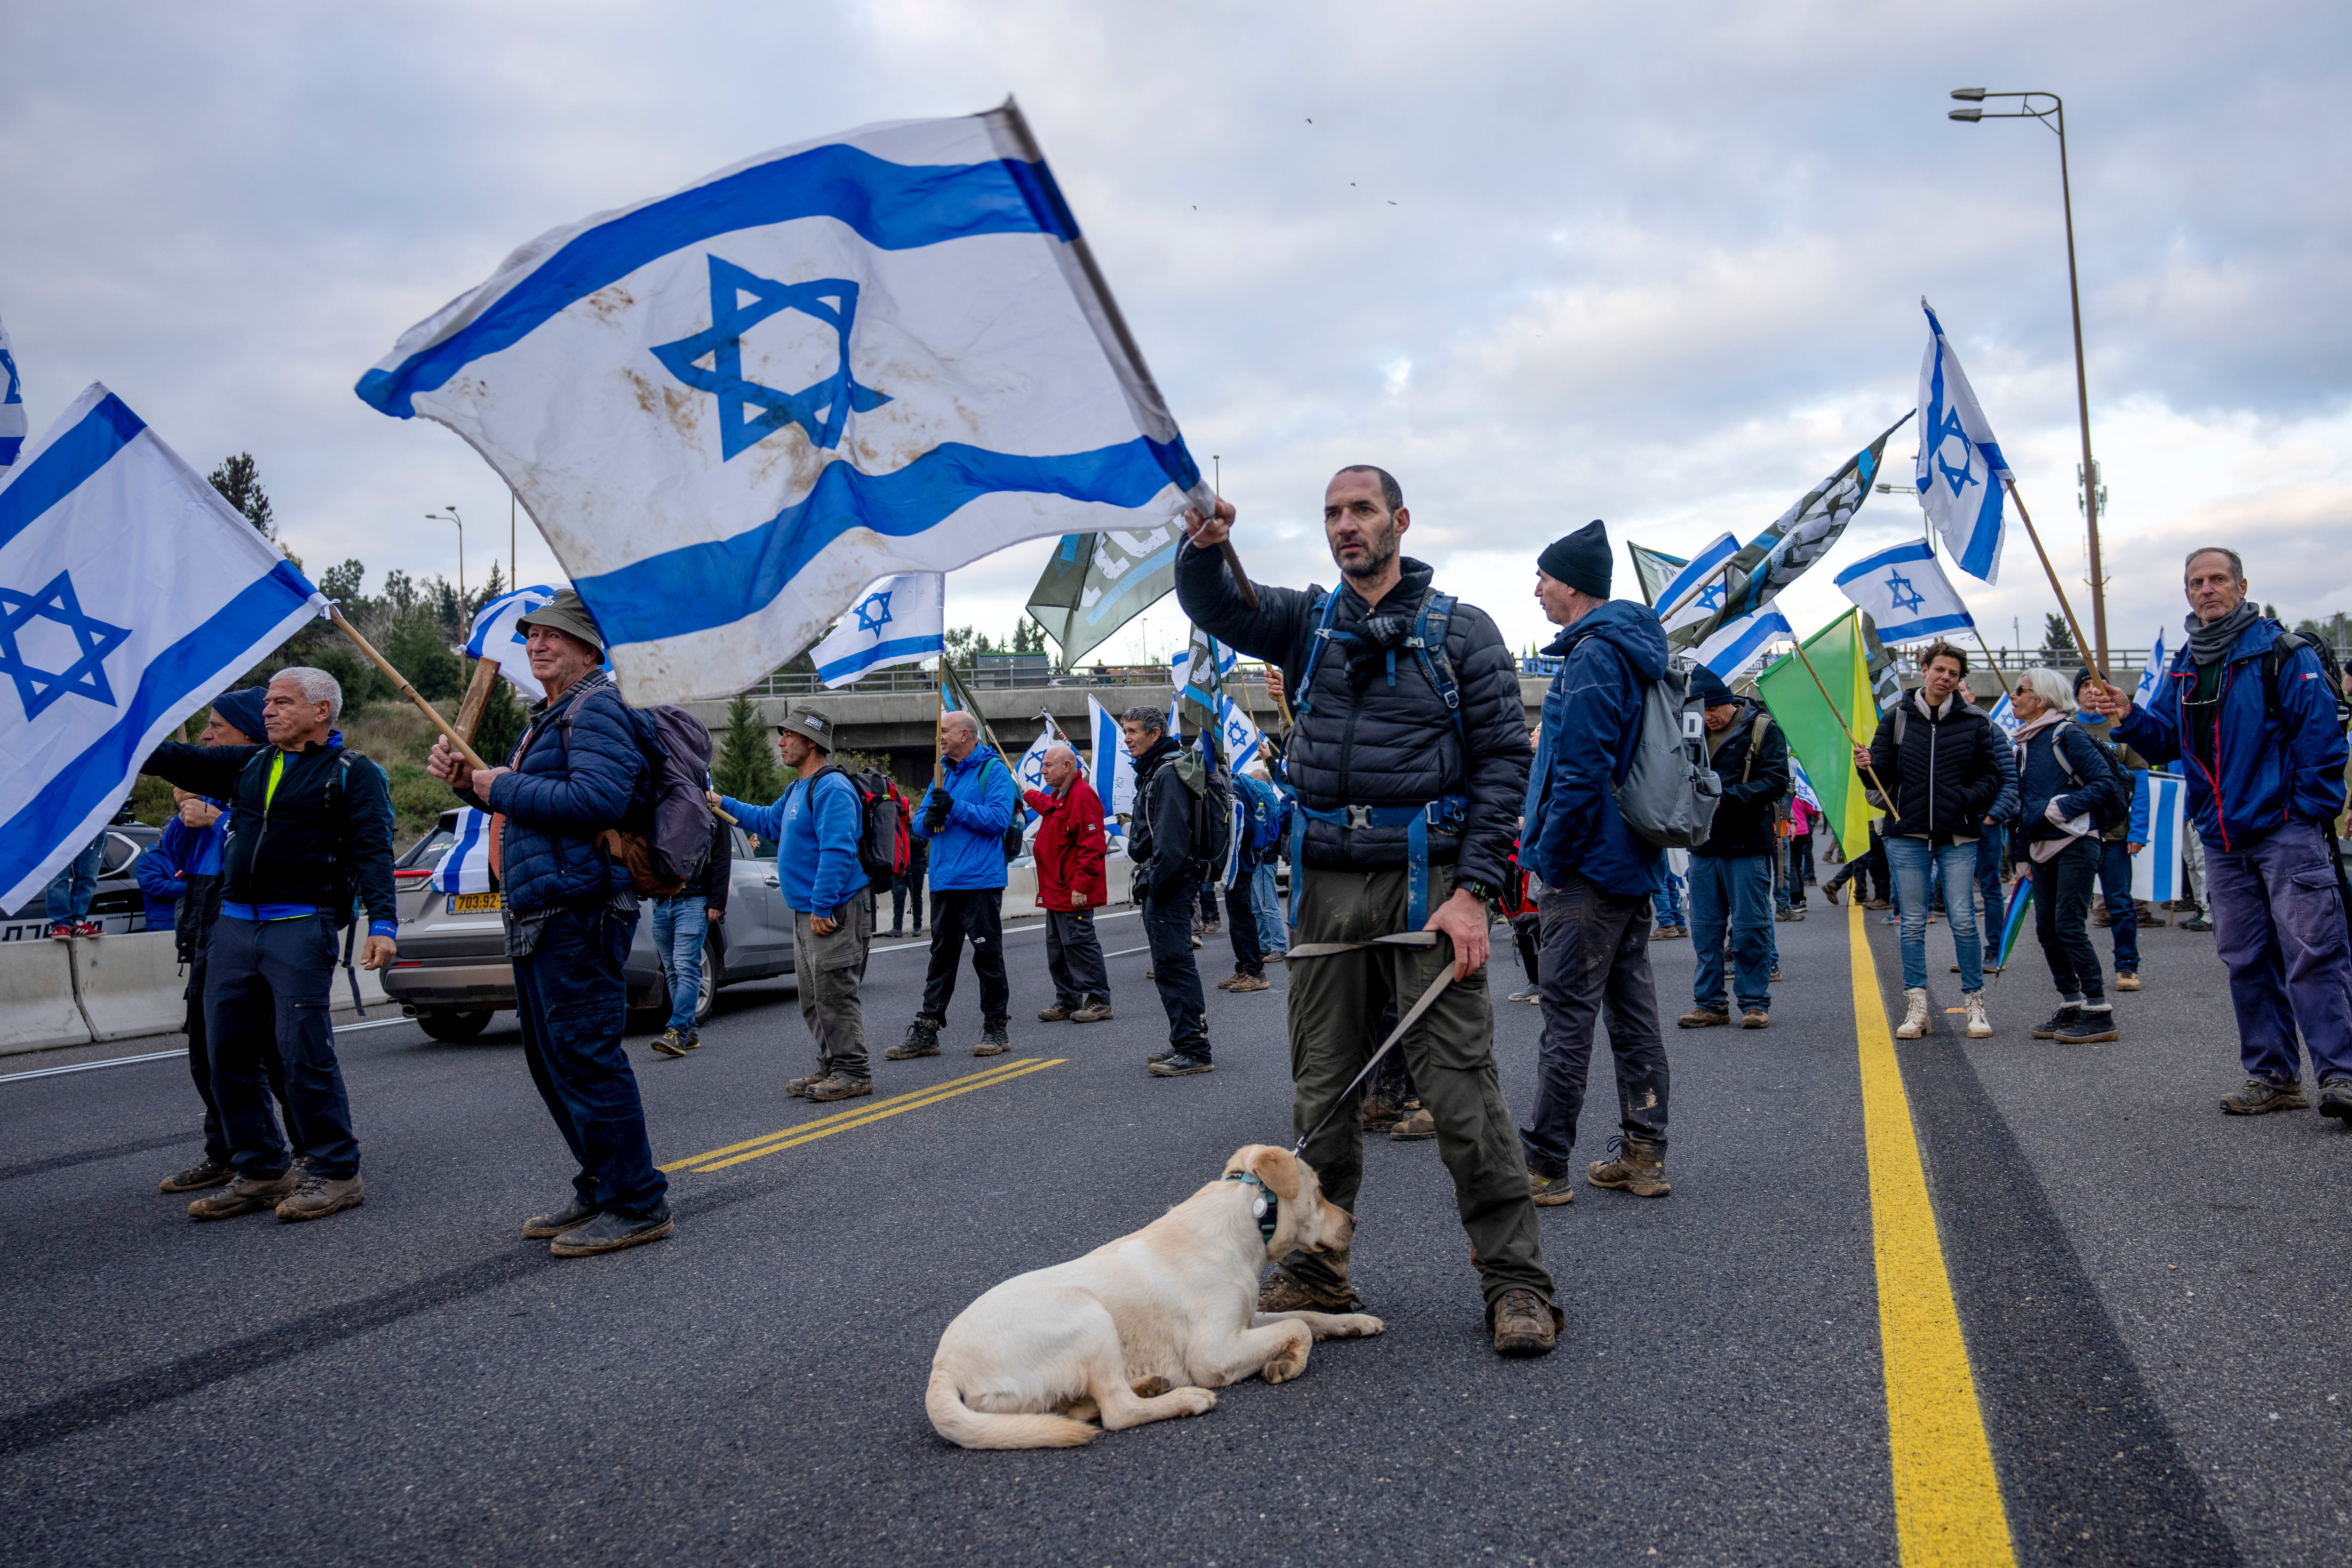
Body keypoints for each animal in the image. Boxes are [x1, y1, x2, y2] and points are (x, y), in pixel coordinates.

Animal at [927, 1147, 1383, 1457]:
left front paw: (1354, 1324)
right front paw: (1287, 1362)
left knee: (1078, 1408)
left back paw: (1148, 1385)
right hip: (1088, 1315)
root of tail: (942, 1367)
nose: (1354, 1221)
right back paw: (1182, 1399)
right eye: (1320, 1192)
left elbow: (1305, 1315)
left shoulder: (1245, 1320)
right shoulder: (1214, 1352)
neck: (1248, 1220)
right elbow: (1299, 1327)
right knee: (1116, 1411)